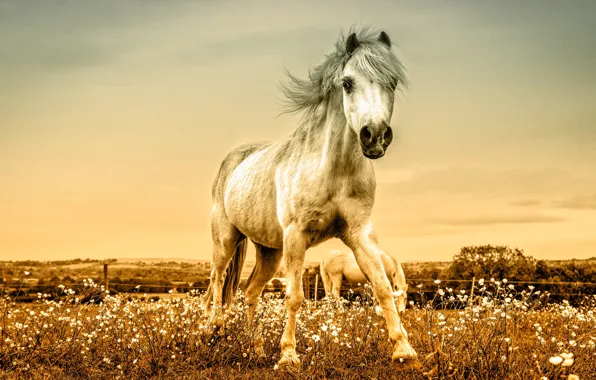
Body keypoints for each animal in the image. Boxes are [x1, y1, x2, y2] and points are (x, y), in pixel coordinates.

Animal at [203, 27, 416, 372]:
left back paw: (255, 350)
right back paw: (209, 330)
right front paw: (289, 355)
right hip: (226, 241)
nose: (374, 136)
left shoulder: (359, 234)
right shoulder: (296, 236)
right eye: (347, 82)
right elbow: (294, 297)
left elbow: (383, 287)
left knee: (250, 292)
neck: (333, 171)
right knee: (216, 285)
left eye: (393, 81)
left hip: (269, 251)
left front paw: (403, 349)